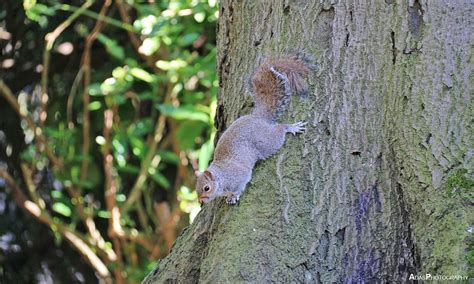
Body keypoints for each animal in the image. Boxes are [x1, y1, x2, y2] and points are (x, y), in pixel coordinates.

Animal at [193, 57, 310, 204]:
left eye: (206, 188)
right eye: (196, 189)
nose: (201, 201)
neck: (222, 177)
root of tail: (257, 117)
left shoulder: (239, 176)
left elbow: (241, 184)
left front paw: (234, 195)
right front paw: (228, 197)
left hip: (265, 141)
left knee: (279, 130)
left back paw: (290, 127)